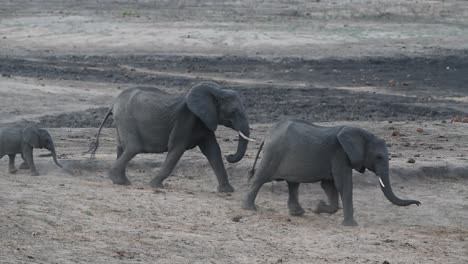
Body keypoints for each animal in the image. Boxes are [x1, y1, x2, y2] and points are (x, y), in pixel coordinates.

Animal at [87, 81, 252, 192]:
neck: (215, 92)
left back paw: (122, 181)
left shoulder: (205, 120)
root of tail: (113, 103)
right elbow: (177, 148)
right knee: (133, 148)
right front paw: (155, 185)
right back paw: (118, 180)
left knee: (122, 147)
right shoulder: (186, 119)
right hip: (127, 119)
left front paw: (227, 191)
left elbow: (213, 151)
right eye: (234, 111)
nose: (230, 156)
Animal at [243, 119, 422, 225]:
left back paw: (298, 213)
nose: (419, 204)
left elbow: (329, 185)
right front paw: (350, 225)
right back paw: (249, 208)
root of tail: (268, 135)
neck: (361, 133)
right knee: (260, 177)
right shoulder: (340, 155)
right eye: (378, 157)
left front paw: (318, 208)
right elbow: (344, 184)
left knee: (293, 184)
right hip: (273, 154)